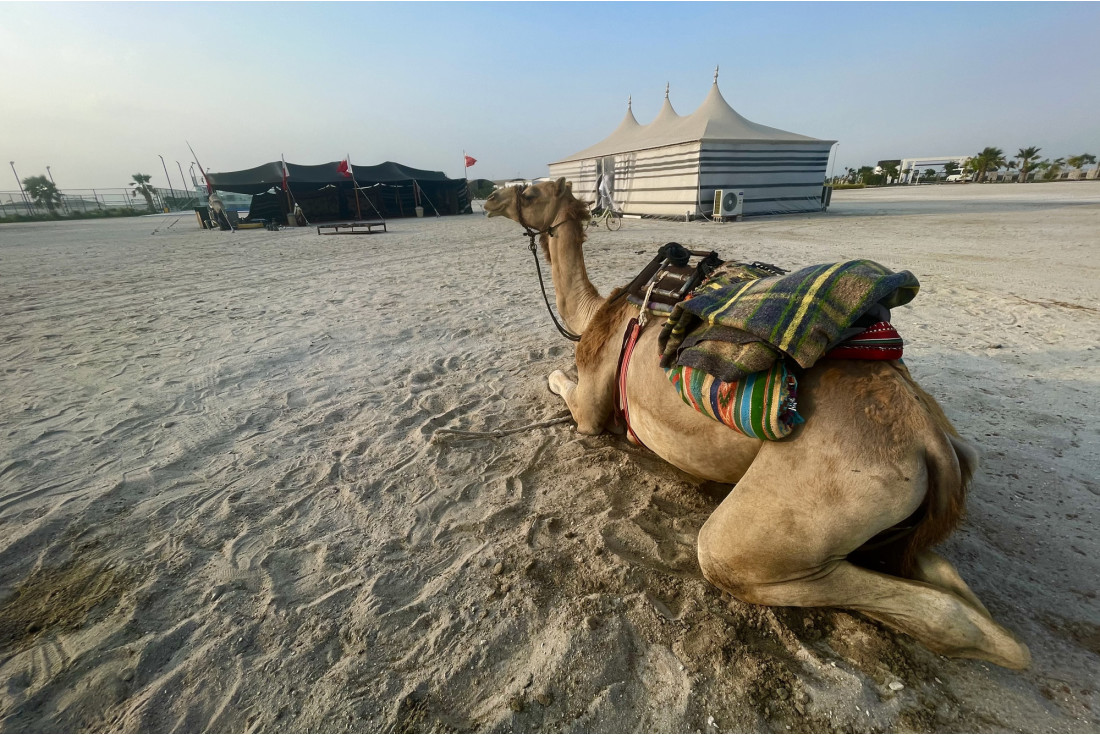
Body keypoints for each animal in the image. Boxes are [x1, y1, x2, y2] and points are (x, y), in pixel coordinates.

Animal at [484, 178, 1030, 670]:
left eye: (529, 191)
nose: (488, 195)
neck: (597, 312)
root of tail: (930, 439)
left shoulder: (592, 406)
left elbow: (564, 384)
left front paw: (553, 376)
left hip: (791, 512)